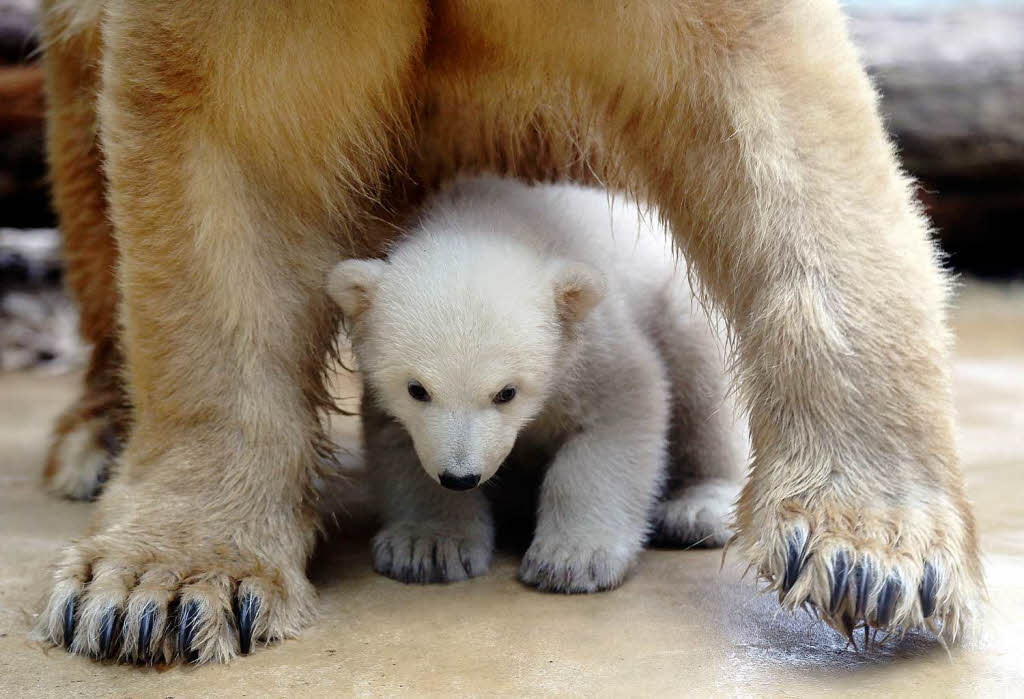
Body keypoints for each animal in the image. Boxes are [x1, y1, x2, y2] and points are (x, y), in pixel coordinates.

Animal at [39, 0, 978, 667]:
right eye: (420, 387)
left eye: (508, 389)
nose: (461, 471)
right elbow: (221, 143)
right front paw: (165, 588)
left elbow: (777, 107)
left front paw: (873, 556)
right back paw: (99, 436)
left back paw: (700, 501)